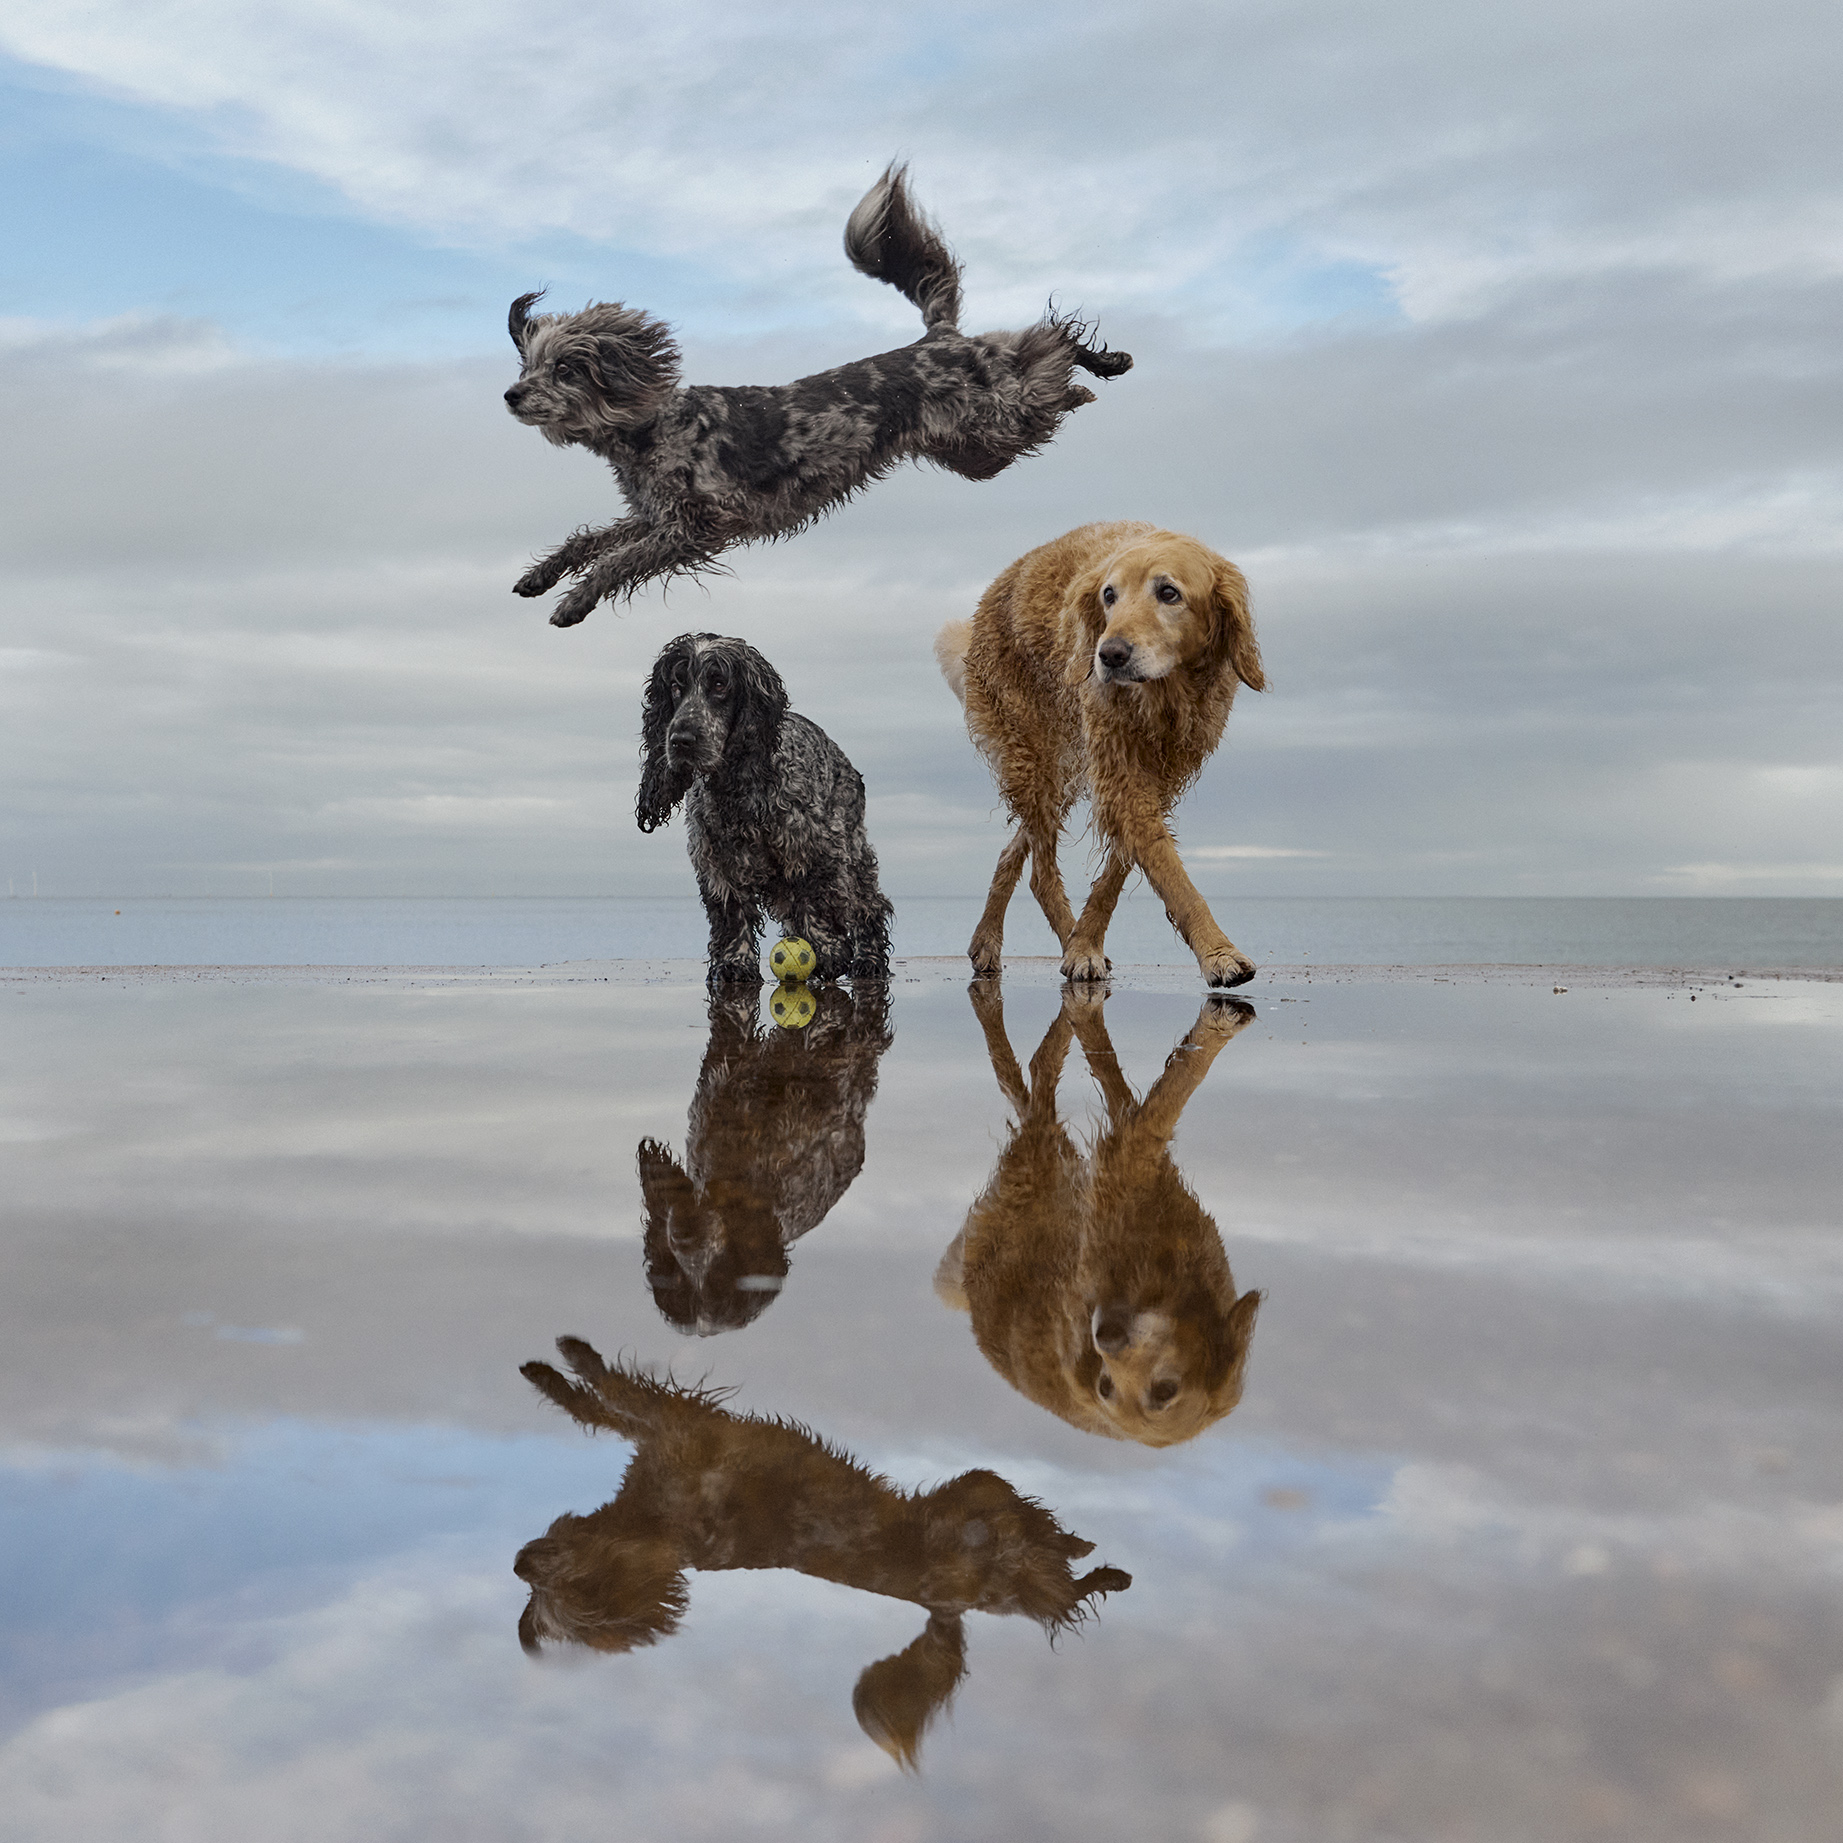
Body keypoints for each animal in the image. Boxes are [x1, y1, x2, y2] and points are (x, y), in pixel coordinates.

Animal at [508, 160, 1135, 619]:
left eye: (565, 369)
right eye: (528, 366)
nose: (511, 396)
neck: (648, 429)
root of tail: (938, 336)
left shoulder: (698, 523)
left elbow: (617, 562)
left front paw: (574, 603)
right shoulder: (656, 516)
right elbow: (589, 541)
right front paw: (540, 576)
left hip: (999, 418)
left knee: (1051, 343)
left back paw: (1102, 368)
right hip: (978, 453)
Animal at [637, 633, 888, 987]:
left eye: (719, 684)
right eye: (676, 685)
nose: (681, 740)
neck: (738, 789)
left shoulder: (816, 850)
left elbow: (819, 901)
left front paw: (829, 951)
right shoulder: (717, 861)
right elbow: (732, 914)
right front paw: (735, 963)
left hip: (852, 850)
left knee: (869, 904)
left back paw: (869, 960)